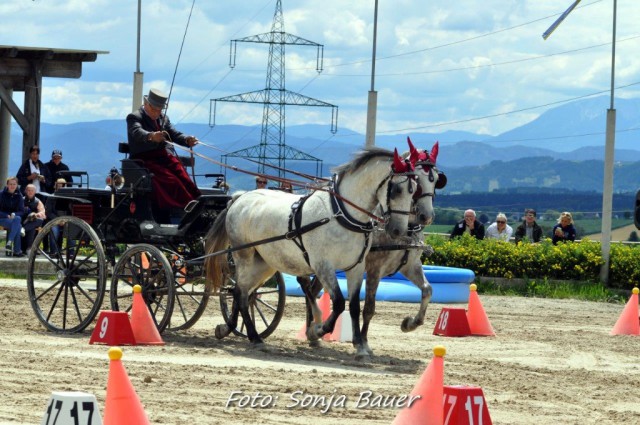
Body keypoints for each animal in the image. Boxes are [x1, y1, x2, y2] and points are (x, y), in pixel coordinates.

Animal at [202, 146, 418, 352]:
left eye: (413, 190)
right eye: (397, 190)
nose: (398, 230)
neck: (341, 215)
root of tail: (239, 198)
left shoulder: (355, 267)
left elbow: (355, 306)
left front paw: (361, 345)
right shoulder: (323, 266)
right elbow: (338, 302)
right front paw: (317, 331)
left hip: (264, 263)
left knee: (242, 292)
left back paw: (227, 329)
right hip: (244, 256)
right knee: (240, 293)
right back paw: (255, 338)